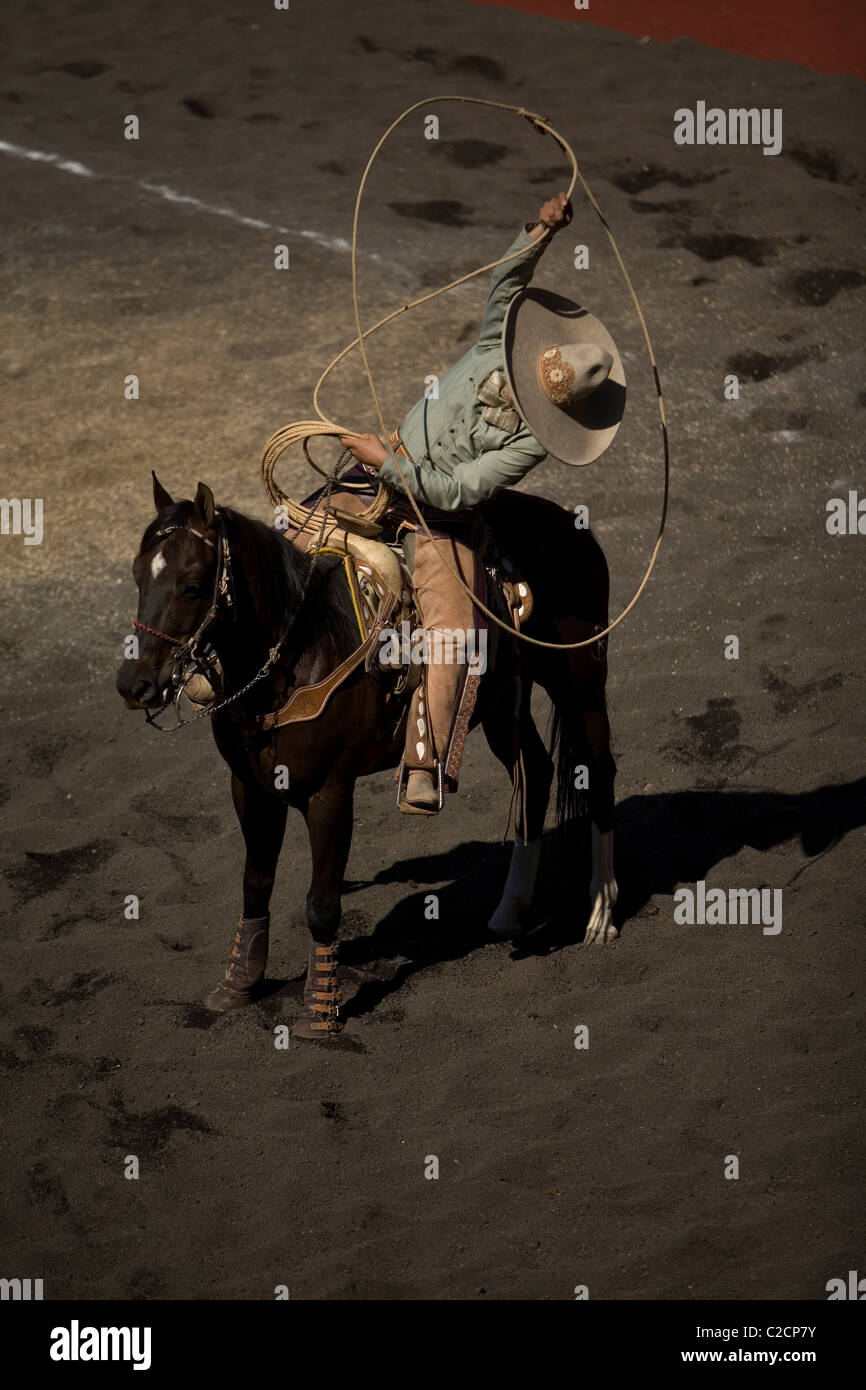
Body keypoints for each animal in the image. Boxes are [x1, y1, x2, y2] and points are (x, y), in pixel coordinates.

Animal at [115, 472, 619, 1039]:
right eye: (138, 575)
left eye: (192, 585)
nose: (134, 684)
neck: (301, 649)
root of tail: (570, 524)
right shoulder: (249, 786)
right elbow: (255, 884)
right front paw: (238, 984)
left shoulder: (330, 792)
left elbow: (321, 904)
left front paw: (320, 1009)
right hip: (500, 705)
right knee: (534, 768)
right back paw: (510, 911)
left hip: (579, 676)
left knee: (599, 771)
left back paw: (601, 914)